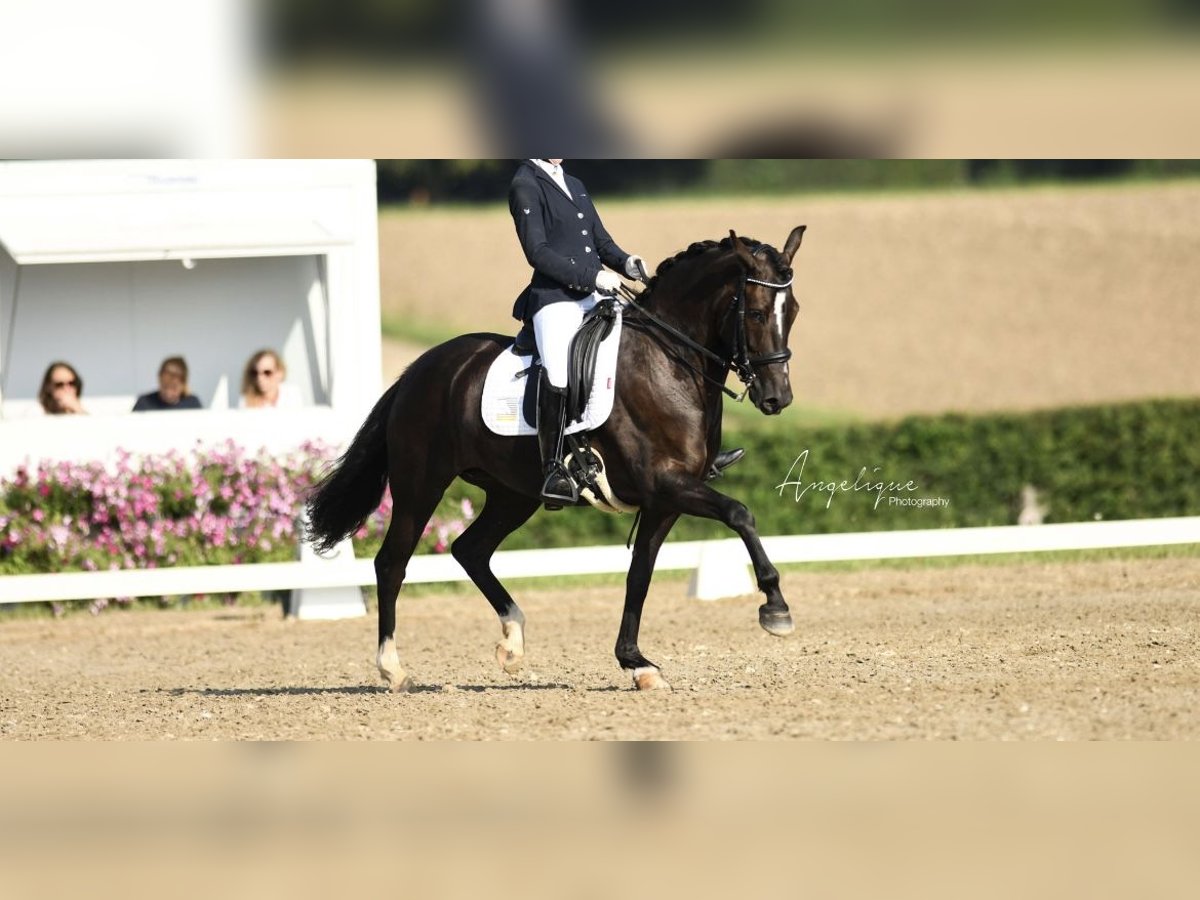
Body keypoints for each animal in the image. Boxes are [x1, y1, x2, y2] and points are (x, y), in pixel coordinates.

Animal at [307, 229, 806, 696]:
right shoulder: (666, 483)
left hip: (512, 494)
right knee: (392, 562)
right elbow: (740, 513)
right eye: (756, 313)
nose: (777, 398)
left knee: (471, 550)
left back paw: (512, 640)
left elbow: (639, 575)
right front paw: (775, 608)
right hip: (421, 484)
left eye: (794, 311)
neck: (670, 362)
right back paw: (393, 669)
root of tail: (419, 370)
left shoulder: (664, 500)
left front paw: (636, 663)